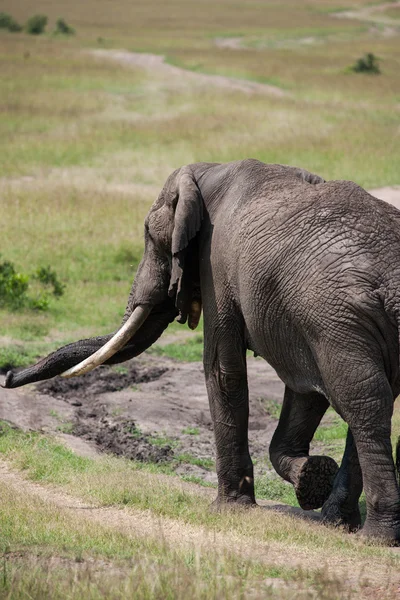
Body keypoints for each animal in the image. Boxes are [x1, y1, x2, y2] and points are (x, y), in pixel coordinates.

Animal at [3, 159, 400, 544]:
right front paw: (310, 477)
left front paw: (228, 510)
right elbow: (304, 389)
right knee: (368, 402)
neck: (207, 172)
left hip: (340, 321)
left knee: (363, 404)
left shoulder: (217, 263)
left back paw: (376, 538)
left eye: (150, 236)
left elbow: (223, 371)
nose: (6, 375)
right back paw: (339, 521)